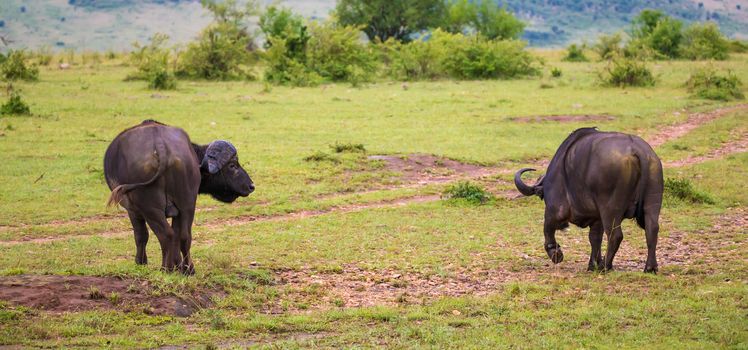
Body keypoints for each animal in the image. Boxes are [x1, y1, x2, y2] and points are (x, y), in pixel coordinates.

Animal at [104, 119, 254, 274]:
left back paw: (166, 268)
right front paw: (178, 265)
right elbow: (177, 236)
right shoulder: (178, 210)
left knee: (166, 235)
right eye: (232, 165)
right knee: (183, 236)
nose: (251, 186)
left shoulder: (132, 211)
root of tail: (161, 146)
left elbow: (141, 236)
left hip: (150, 207)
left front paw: (141, 263)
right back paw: (188, 269)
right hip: (187, 203)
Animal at [516, 127, 668, 272]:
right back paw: (650, 267)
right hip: (652, 200)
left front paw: (556, 253)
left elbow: (547, 228)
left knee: (615, 235)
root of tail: (637, 149)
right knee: (652, 229)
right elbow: (595, 238)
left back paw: (605, 266)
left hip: (610, 210)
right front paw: (592, 264)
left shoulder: (555, 210)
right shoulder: (596, 218)